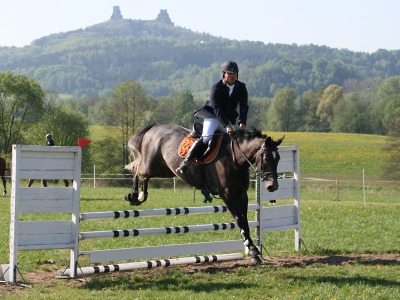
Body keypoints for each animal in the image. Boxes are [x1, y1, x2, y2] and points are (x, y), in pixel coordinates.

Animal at [125, 123, 284, 262]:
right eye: (267, 158)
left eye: (278, 159)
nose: (273, 186)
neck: (236, 159)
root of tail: (155, 126)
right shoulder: (227, 195)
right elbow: (239, 219)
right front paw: (252, 249)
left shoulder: (241, 194)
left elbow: (244, 220)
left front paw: (251, 250)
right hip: (151, 165)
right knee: (137, 169)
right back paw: (133, 196)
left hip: (163, 170)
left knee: (144, 175)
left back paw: (141, 196)